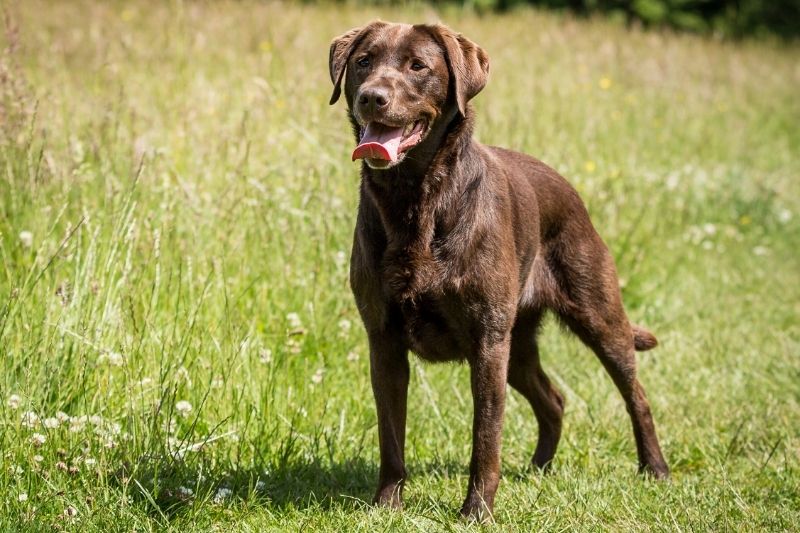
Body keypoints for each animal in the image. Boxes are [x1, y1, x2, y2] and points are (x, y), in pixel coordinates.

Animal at [326, 21, 668, 520]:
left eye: (418, 66)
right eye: (363, 62)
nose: (372, 97)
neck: (416, 199)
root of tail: (570, 189)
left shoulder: (487, 343)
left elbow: (485, 438)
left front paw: (476, 513)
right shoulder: (383, 340)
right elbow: (391, 436)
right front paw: (386, 506)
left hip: (596, 319)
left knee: (635, 394)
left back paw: (654, 468)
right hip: (518, 345)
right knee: (553, 400)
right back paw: (539, 469)